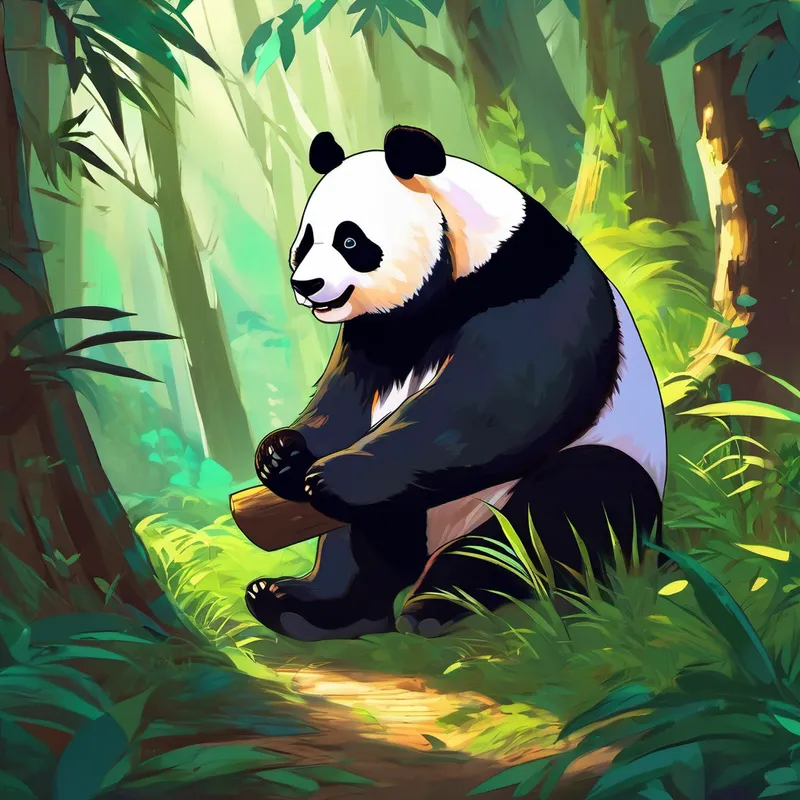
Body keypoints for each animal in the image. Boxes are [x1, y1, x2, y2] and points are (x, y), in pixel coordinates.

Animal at [245, 125, 667, 642]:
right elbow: (345, 400)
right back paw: (302, 606)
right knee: (363, 544)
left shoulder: (528, 287)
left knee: (556, 515)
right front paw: (282, 455)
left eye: (350, 241)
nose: (306, 285)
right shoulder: (378, 333)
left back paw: (438, 604)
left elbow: (498, 402)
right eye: (305, 241)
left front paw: (331, 475)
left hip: (596, 475)